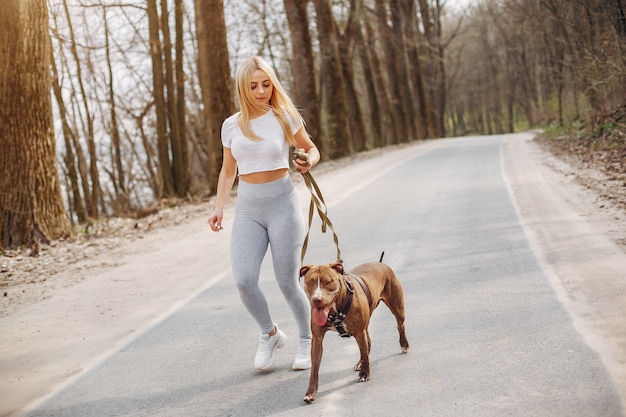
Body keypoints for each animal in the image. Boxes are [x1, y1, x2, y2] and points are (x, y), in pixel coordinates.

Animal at [298, 258, 408, 402]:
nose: (316, 299)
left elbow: (365, 354)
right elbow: (314, 369)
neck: (336, 309)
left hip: (397, 308)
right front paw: (311, 392)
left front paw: (364, 375)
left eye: (328, 282)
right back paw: (359, 363)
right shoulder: (317, 339)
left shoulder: (359, 332)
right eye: (309, 282)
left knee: (400, 325)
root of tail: (381, 263)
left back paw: (404, 345)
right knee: (367, 343)